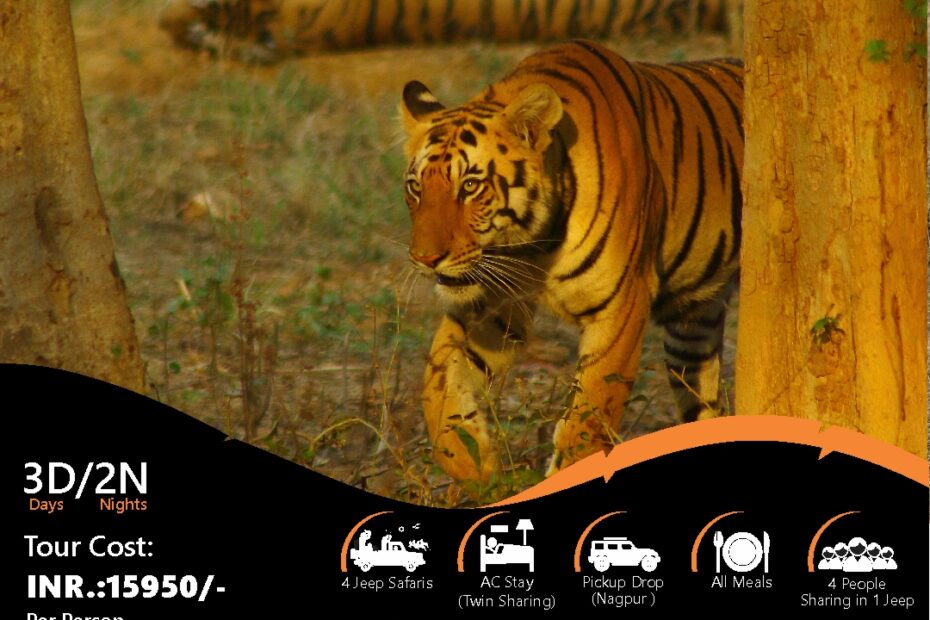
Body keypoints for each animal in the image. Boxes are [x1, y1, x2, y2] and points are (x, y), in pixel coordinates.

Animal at [400, 40, 743, 483]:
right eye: (415, 187)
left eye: (470, 186)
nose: (425, 258)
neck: (532, 247)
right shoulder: (494, 302)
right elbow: (438, 382)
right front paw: (476, 467)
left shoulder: (621, 309)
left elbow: (587, 420)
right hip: (692, 333)